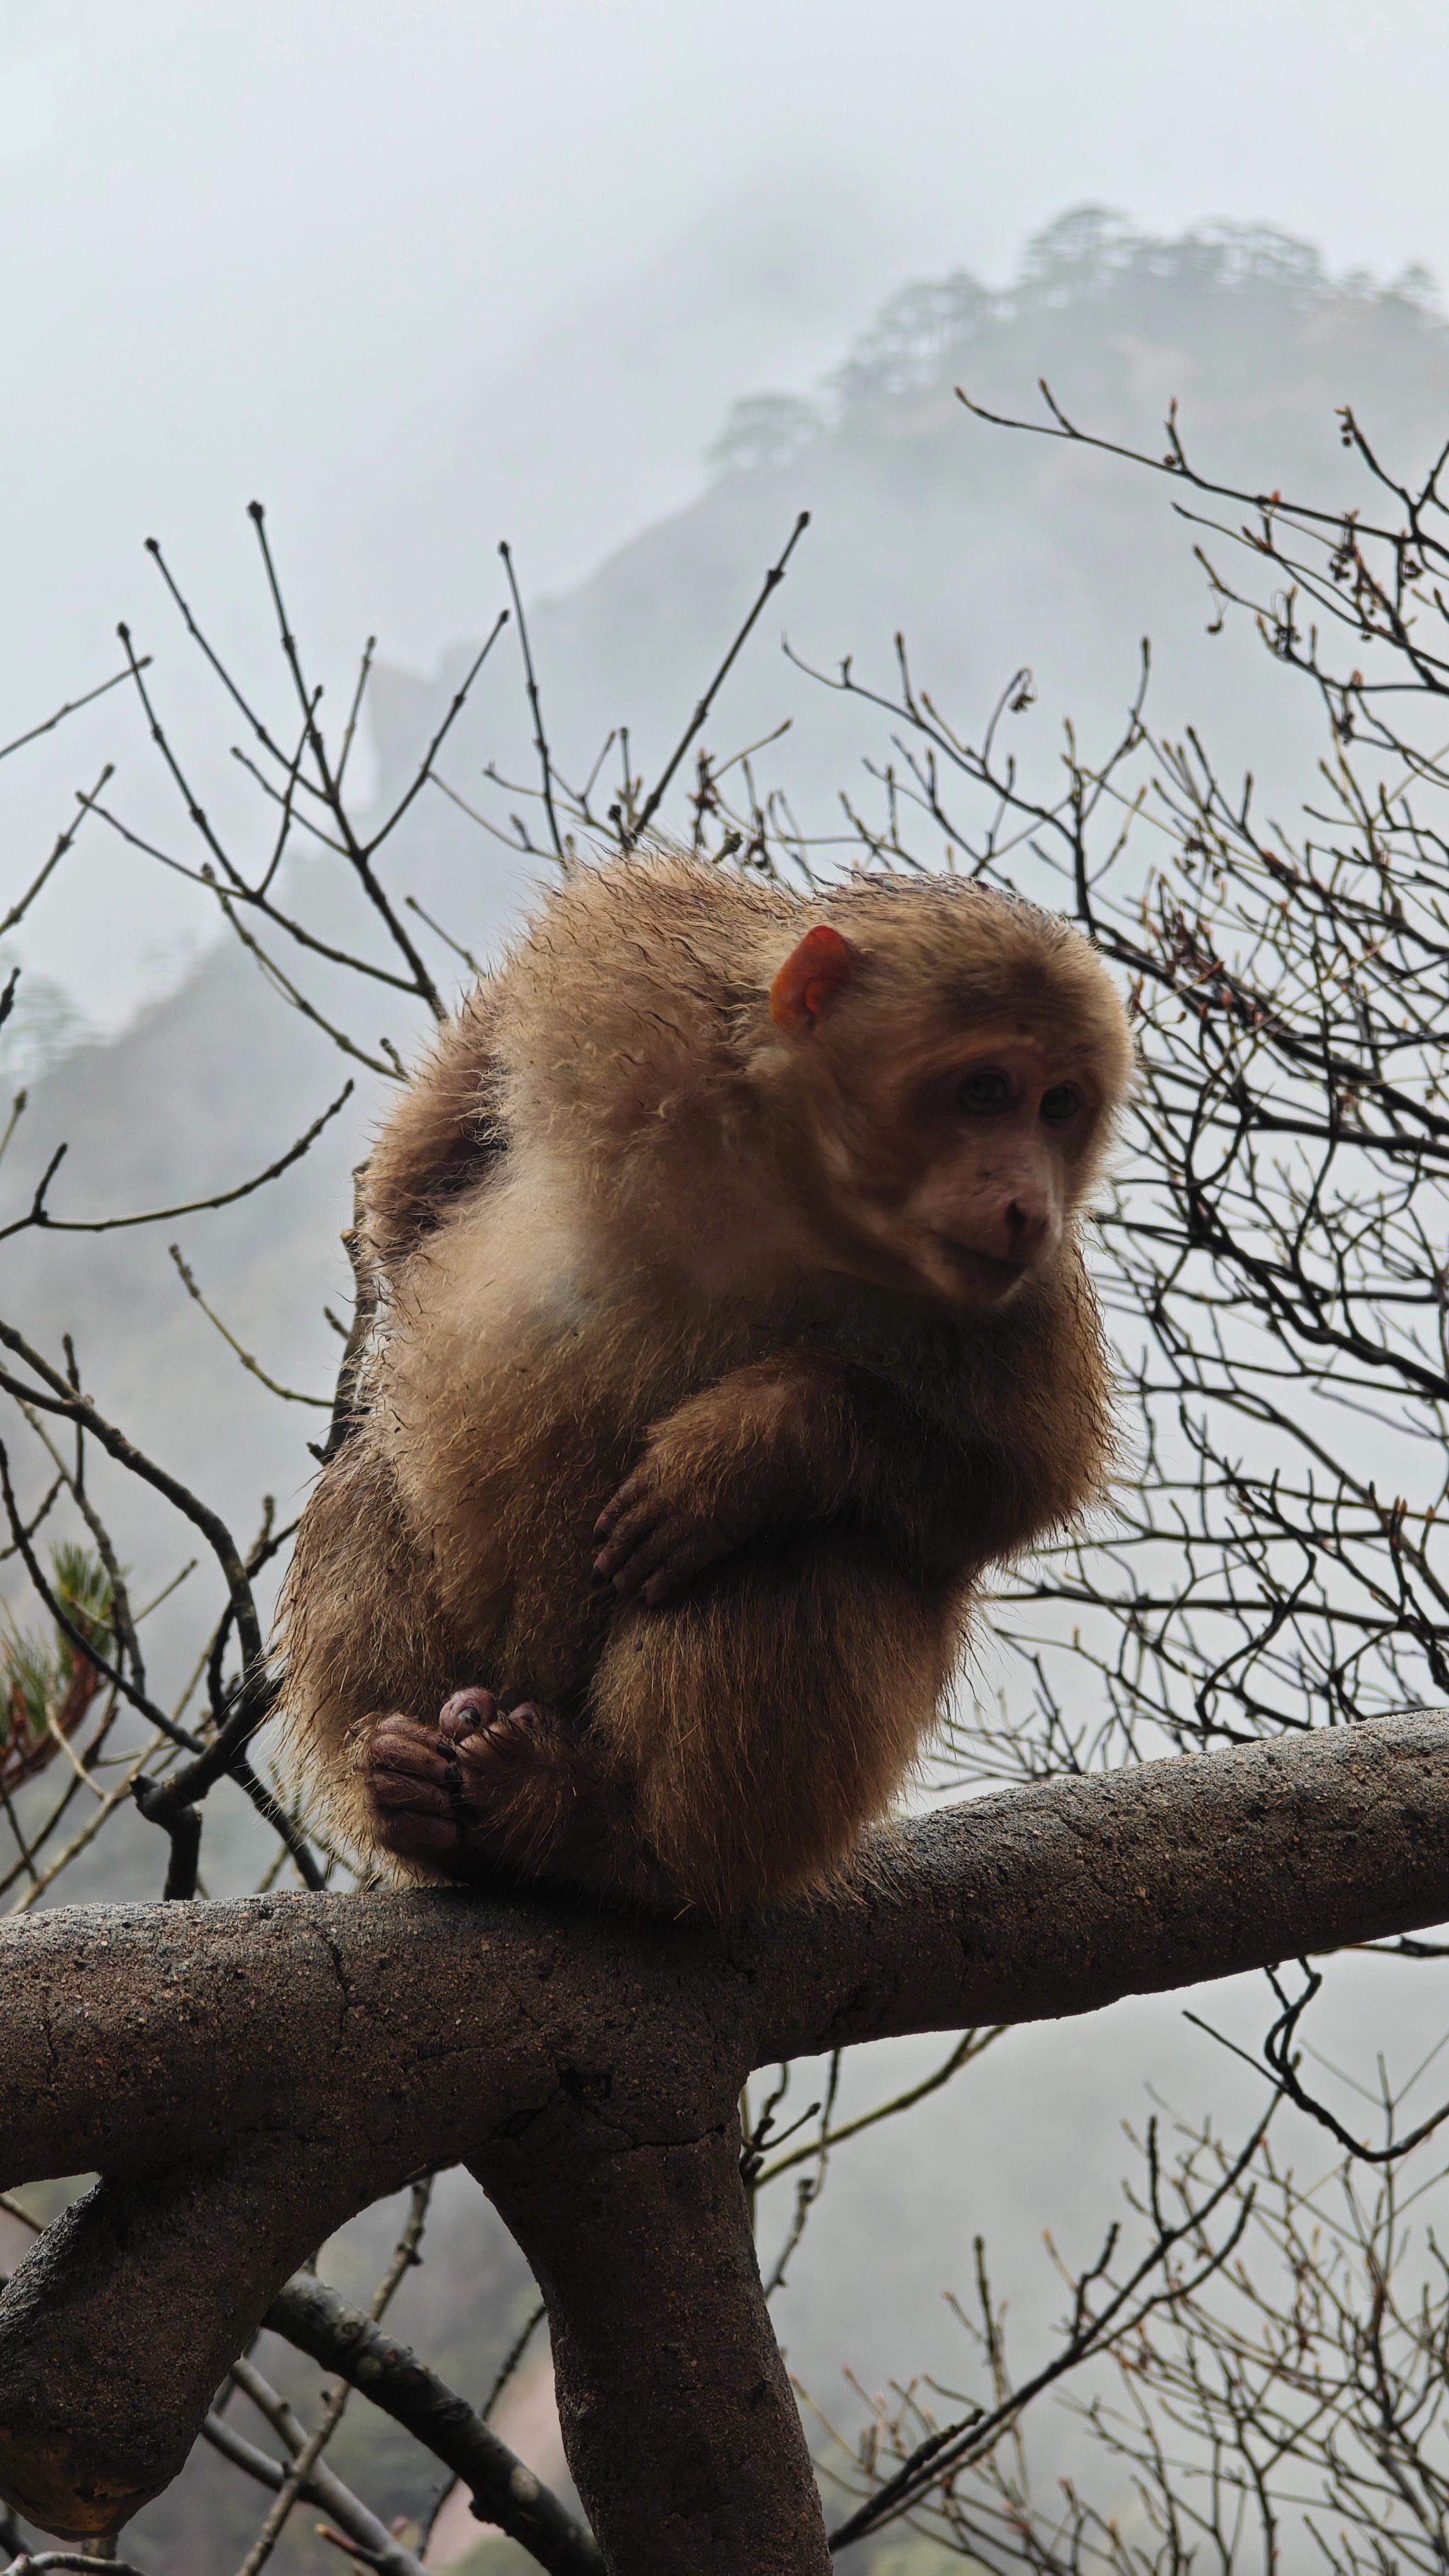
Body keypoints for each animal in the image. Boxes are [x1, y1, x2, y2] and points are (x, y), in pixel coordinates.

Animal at [279, 855, 1129, 1926]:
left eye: (1060, 1105)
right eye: (987, 1090)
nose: (1027, 1204)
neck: (797, 1184)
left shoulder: (1023, 1297)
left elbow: (1019, 1479)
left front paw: (755, 1443)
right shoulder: (634, 966)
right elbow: (431, 1158)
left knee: (796, 1544)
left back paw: (610, 1835)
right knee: (372, 1476)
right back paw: (412, 1796)